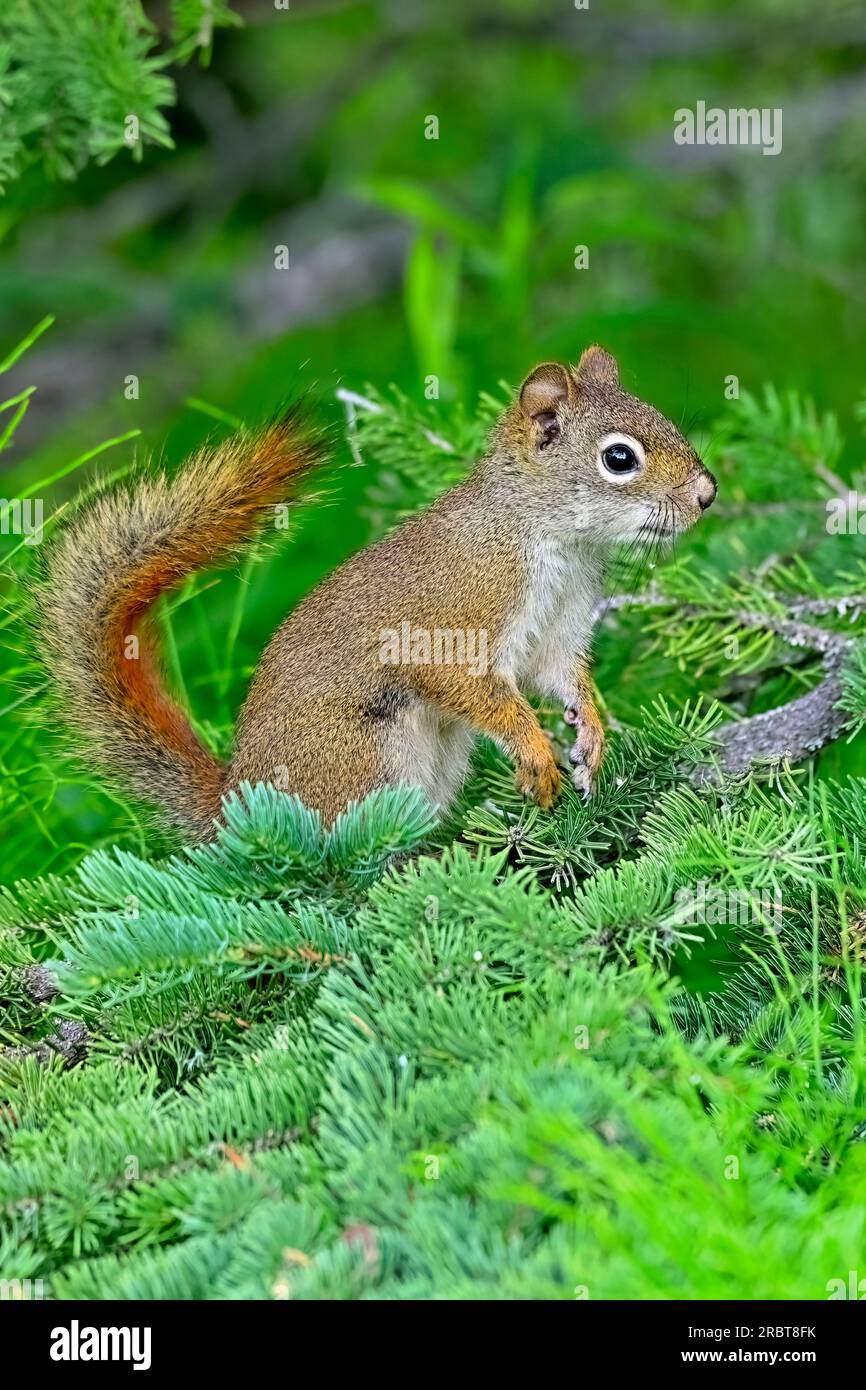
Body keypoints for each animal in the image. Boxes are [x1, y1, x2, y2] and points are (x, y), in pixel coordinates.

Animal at [34, 346, 716, 839]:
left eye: (664, 419)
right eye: (619, 458)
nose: (707, 494)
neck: (551, 538)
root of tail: (237, 810)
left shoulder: (560, 626)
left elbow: (564, 676)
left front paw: (590, 732)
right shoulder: (457, 616)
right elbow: (474, 688)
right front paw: (534, 751)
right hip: (368, 757)